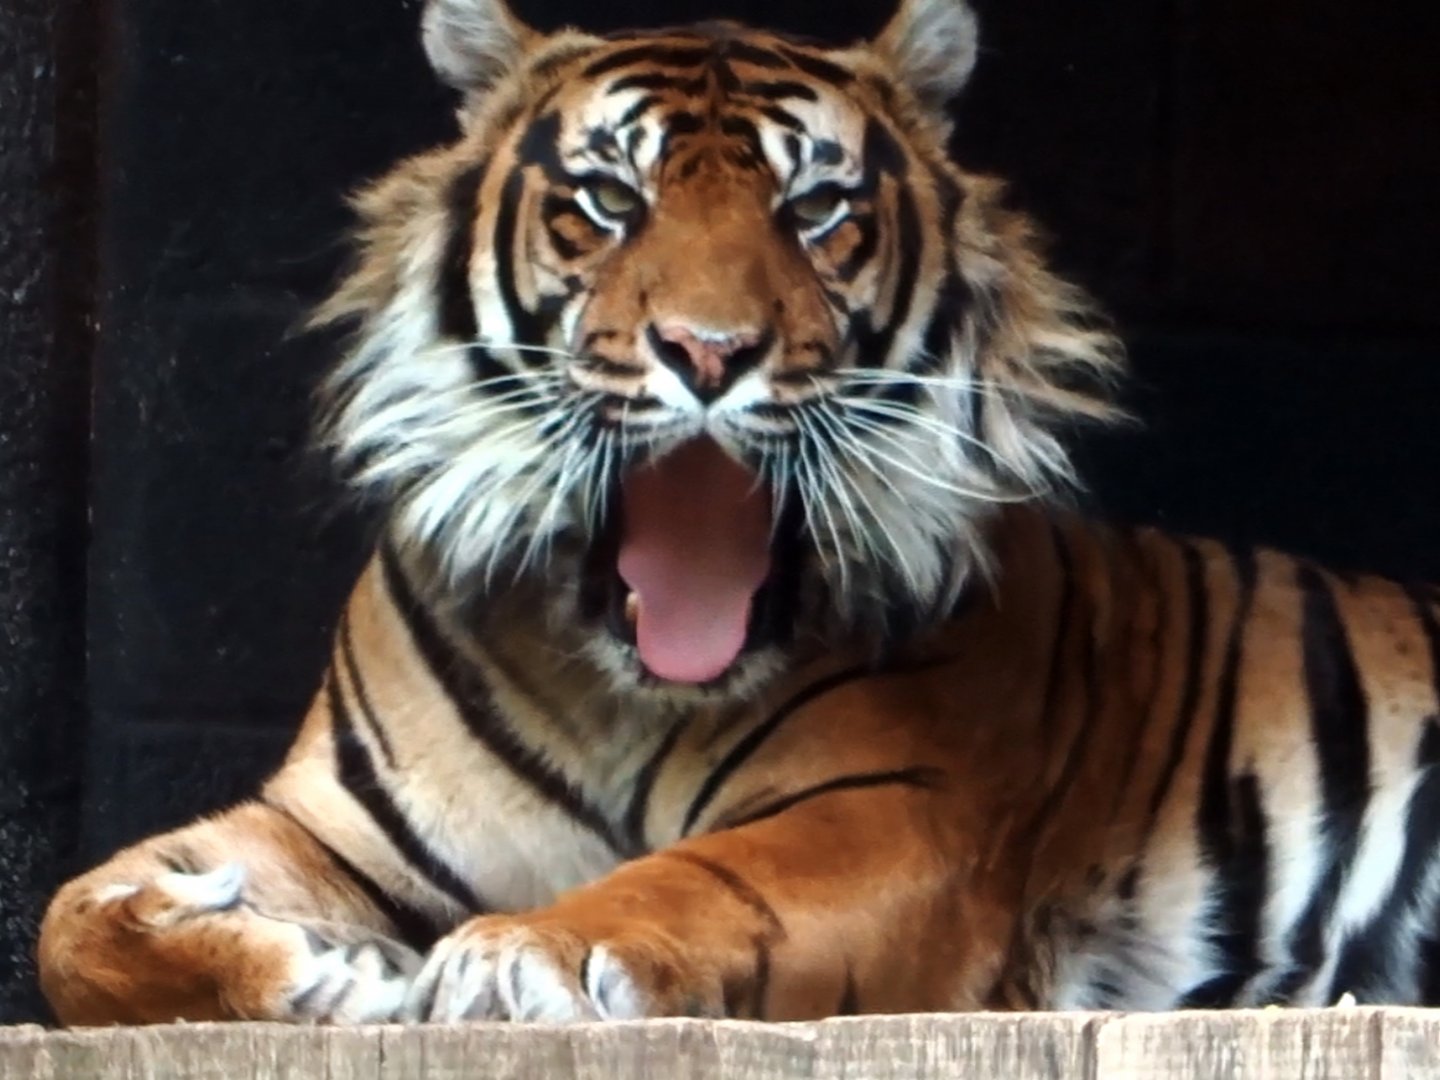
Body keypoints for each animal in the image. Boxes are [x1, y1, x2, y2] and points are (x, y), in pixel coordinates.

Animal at [35, 0, 1440, 1028]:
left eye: (814, 209)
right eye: (611, 200)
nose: (709, 353)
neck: (621, 685)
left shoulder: (900, 810)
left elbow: (707, 879)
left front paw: (522, 955)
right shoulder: (332, 822)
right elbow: (68, 915)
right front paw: (296, 967)